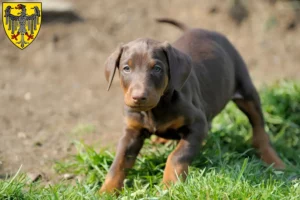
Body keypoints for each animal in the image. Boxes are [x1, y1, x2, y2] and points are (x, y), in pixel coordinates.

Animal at [99, 18, 284, 192]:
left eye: (157, 68)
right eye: (126, 68)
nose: (138, 97)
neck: (156, 109)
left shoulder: (198, 125)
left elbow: (177, 156)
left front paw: (170, 185)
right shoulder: (132, 131)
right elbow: (119, 162)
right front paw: (106, 191)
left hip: (246, 90)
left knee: (259, 127)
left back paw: (274, 160)